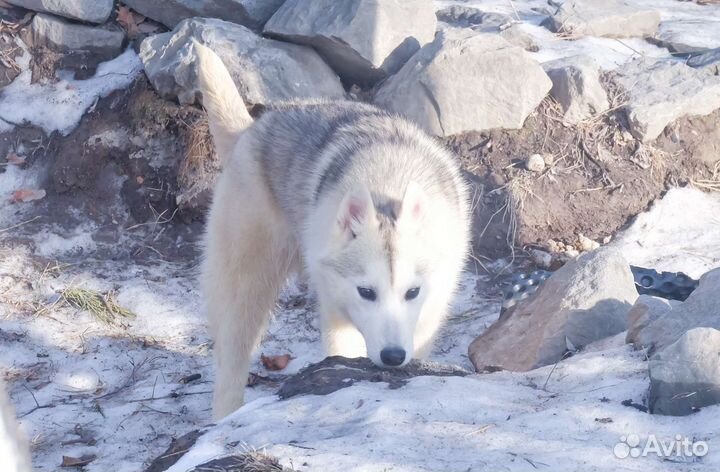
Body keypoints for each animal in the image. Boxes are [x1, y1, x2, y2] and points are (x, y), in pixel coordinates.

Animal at [193, 41, 472, 420]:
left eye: (412, 292)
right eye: (366, 292)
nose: (393, 357)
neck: (387, 183)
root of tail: (252, 129)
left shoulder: (428, 315)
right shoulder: (337, 313)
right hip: (245, 287)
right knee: (231, 360)